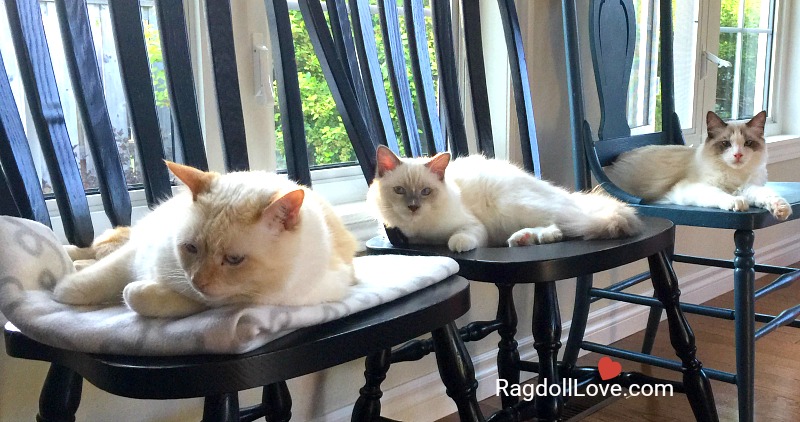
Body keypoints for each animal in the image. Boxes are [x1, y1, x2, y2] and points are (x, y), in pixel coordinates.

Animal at [54, 163, 354, 318]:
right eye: (191, 248)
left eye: (234, 260)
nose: (198, 281)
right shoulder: (139, 252)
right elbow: (100, 277)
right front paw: (64, 291)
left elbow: (139, 296)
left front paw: (141, 290)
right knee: (97, 250)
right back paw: (71, 259)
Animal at [368, 146, 644, 251]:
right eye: (400, 191)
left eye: (425, 191)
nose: (413, 207)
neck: (421, 230)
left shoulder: (472, 225)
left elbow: (460, 236)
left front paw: (457, 244)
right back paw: (522, 239)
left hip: (511, 204)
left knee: (562, 226)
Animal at [608, 109, 792, 221]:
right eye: (726, 144)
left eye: (748, 143)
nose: (738, 155)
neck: (734, 176)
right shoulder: (691, 188)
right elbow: (719, 194)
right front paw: (736, 203)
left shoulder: (747, 187)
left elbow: (767, 195)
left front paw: (781, 209)